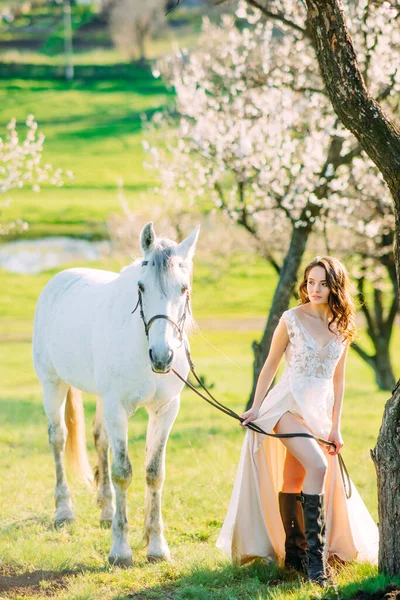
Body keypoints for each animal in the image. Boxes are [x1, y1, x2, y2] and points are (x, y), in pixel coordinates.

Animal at [32, 224, 200, 568]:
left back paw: (107, 510)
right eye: (141, 287)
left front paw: (156, 546)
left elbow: (154, 473)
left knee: (100, 440)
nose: (161, 355)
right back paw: (64, 511)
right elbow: (124, 472)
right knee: (58, 438)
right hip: (52, 384)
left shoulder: (165, 409)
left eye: (184, 288)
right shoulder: (117, 407)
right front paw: (121, 550)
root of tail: (60, 278)